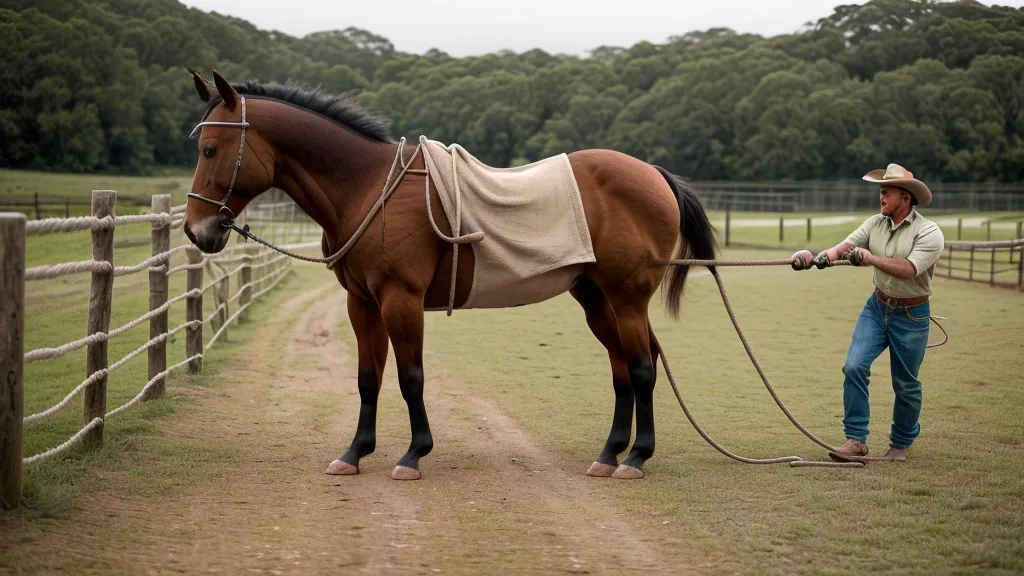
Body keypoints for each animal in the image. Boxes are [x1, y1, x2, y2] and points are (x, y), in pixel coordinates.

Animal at [183, 70, 718, 481]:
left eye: (210, 149)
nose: (196, 230)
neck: (368, 187)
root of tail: (652, 173)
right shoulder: (363, 303)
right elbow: (367, 378)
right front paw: (355, 452)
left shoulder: (401, 299)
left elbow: (410, 377)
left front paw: (413, 454)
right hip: (595, 298)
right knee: (624, 368)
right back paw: (610, 454)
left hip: (626, 297)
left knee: (642, 367)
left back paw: (636, 458)